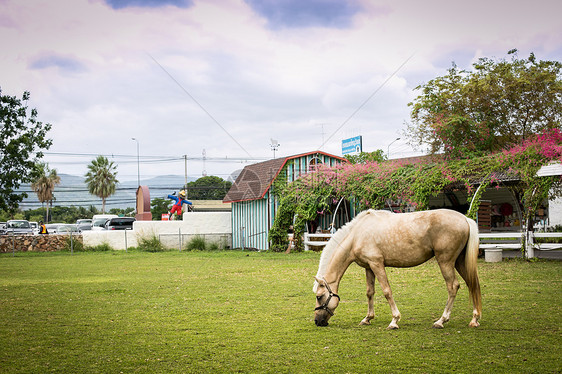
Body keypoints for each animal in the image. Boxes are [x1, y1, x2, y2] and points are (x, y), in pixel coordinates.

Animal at [312, 209, 480, 328]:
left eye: (319, 296)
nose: (317, 321)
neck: (356, 235)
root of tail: (465, 219)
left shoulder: (377, 264)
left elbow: (387, 291)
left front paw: (394, 321)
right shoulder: (369, 267)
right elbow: (369, 292)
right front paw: (367, 318)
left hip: (445, 261)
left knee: (453, 286)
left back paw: (441, 320)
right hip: (459, 262)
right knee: (472, 284)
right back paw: (474, 319)